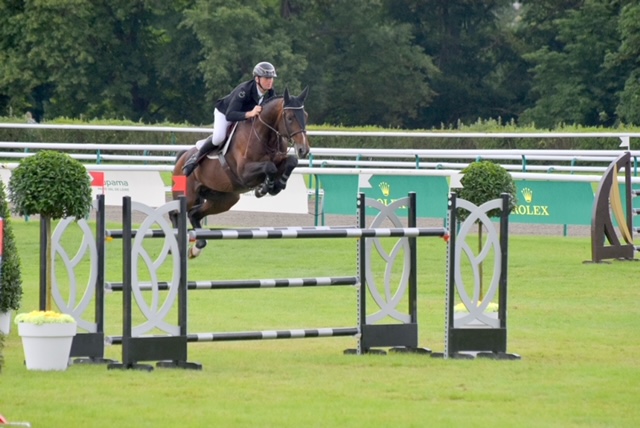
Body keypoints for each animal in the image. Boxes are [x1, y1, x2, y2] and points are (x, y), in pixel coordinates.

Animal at [170, 85, 310, 256]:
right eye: (290, 117)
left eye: (305, 116)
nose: (304, 150)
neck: (265, 135)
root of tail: (182, 157)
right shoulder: (244, 173)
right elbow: (269, 167)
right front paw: (265, 188)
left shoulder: (279, 162)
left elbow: (291, 161)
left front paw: (277, 185)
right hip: (188, 196)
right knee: (174, 213)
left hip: (224, 200)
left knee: (194, 214)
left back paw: (197, 247)